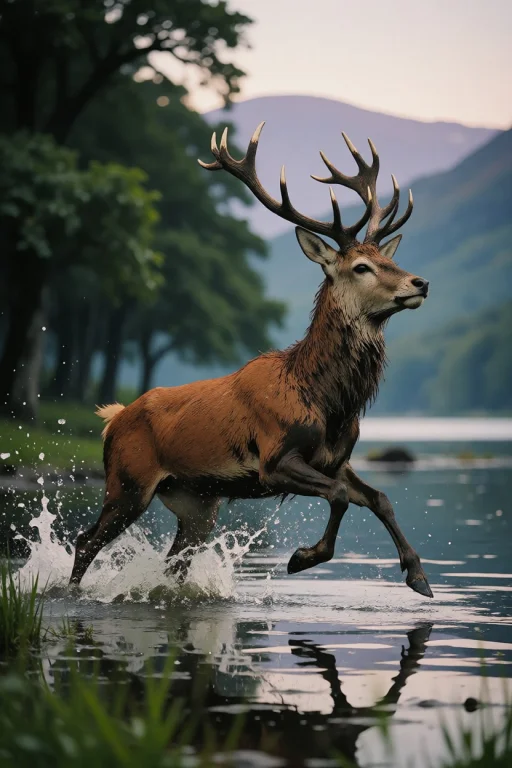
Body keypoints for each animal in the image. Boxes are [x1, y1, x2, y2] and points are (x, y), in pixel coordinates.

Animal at [70, 123, 433, 599]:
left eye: (388, 258)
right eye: (361, 267)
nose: (420, 282)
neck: (328, 401)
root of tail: (112, 419)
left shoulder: (337, 459)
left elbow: (380, 498)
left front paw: (419, 576)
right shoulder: (273, 459)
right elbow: (337, 495)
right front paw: (303, 557)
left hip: (195, 501)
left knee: (175, 560)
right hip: (128, 482)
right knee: (85, 540)